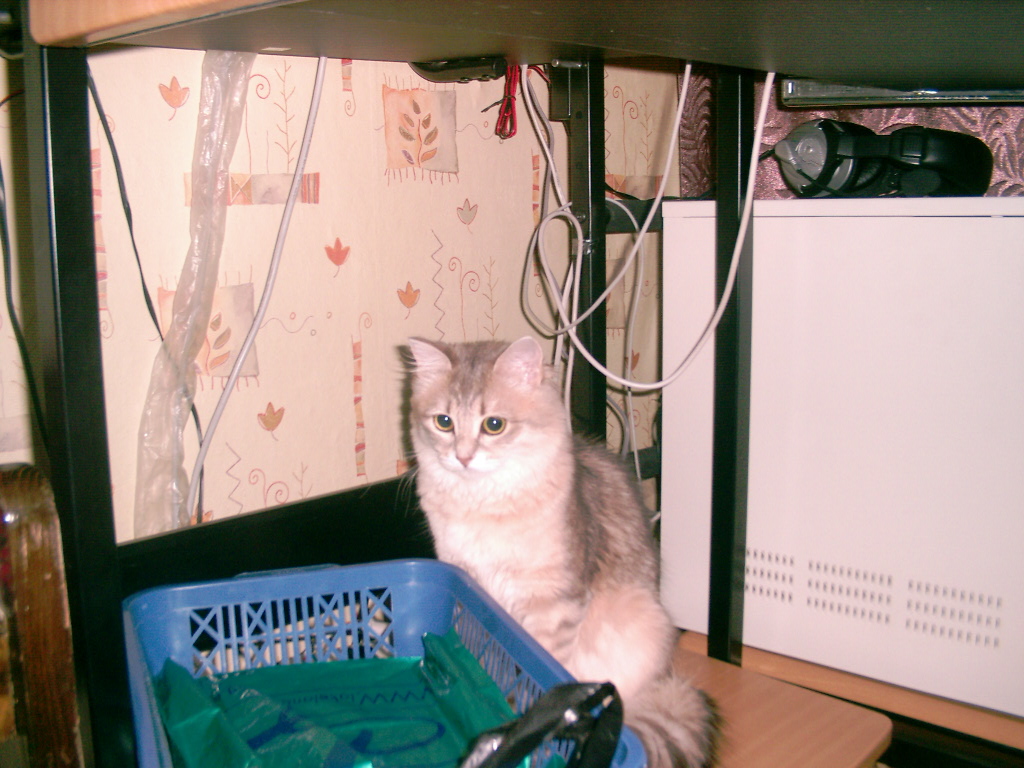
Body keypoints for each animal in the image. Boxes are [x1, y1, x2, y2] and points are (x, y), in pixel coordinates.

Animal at [406, 335, 718, 768]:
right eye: (444, 422)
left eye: (494, 425)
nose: (463, 457)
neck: (481, 502)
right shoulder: (468, 581)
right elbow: (483, 651)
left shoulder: (552, 601)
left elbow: (537, 666)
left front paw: (525, 714)